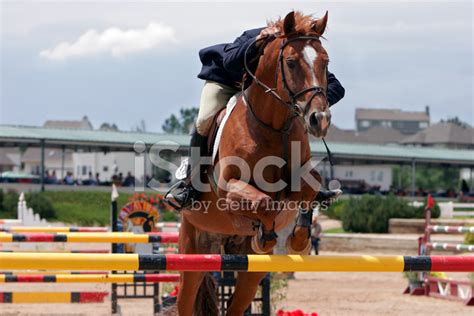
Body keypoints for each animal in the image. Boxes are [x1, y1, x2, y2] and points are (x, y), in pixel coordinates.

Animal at [177, 11, 330, 314]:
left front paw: (299, 240)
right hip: (193, 253)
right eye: (291, 63)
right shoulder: (230, 189)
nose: (319, 120)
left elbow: (308, 190)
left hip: (250, 271)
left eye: (326, 62)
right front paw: (265, 234)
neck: (274, 126)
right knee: (185, 302)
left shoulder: (300, 178)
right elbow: (265, 203)